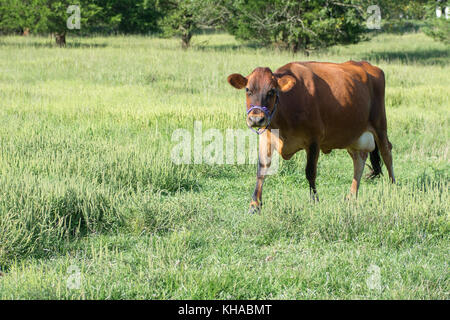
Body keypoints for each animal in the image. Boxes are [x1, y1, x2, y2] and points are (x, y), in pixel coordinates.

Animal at [229, 61, 394, 214]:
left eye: (272, 91)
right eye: (248, 90)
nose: (256, 119)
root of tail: (368, 65)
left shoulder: (314, 140)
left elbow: (310, 172)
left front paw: (314, 200)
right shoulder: (267, 137)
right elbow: (262, 169)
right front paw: (254, 205)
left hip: (380, 125)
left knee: (386, 153)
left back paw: (392, 187)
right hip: (353, 135)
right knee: (359, 161)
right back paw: (351, 196)